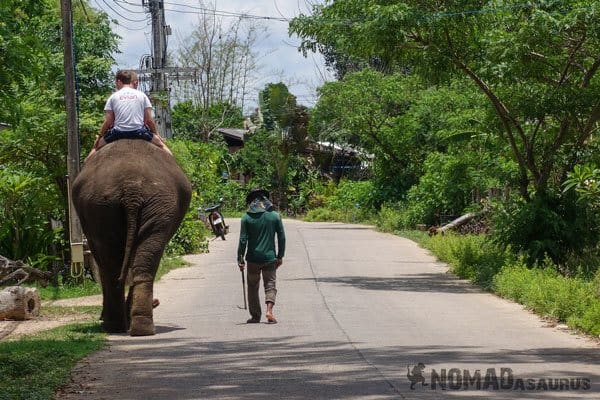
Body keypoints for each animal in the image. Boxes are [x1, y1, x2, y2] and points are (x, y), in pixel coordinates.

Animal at [71, 139, 191, 336]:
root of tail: (131, 187)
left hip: (114, 205)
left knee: (113, 264)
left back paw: (119, 326)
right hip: (126, 204)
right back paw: (135, 327)